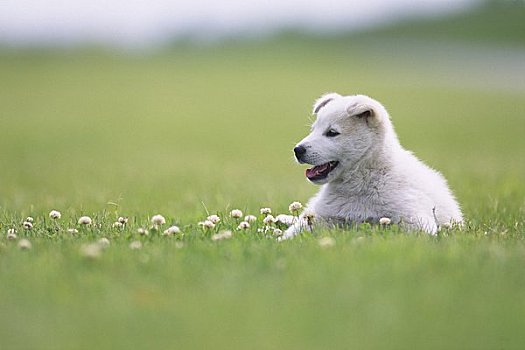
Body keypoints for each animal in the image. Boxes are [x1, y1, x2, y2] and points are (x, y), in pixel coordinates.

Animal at [284, 93, 460, 239]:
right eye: (313, 129)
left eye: (332, 132)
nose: (297, 150)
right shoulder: (320, 216)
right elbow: (291, 234)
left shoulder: (416, 220)